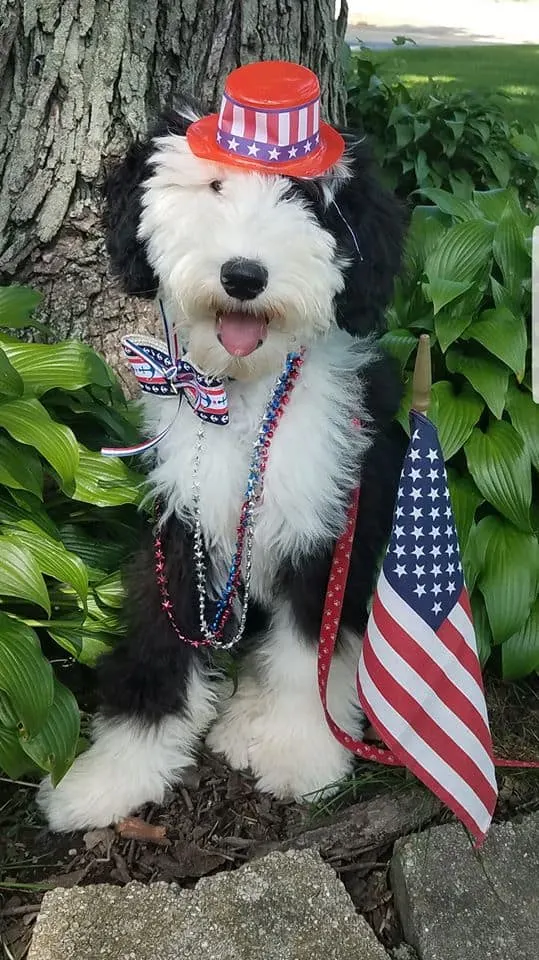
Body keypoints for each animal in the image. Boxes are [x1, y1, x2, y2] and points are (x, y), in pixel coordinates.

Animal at [39, 62, 404, 832]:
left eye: (304, 198)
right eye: (212, 187)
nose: (244, 274)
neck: (243, 400)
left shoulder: (326, 528)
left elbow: (308, 654)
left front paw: (300, 753)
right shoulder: (181, 526)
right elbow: (158, 644)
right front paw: (109, 774)